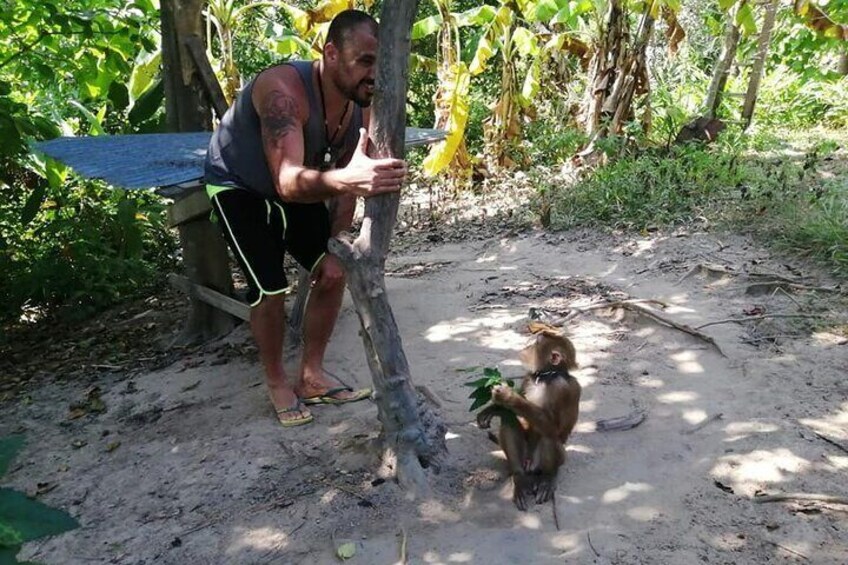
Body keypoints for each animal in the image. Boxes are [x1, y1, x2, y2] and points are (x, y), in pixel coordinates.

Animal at [476, 330, 584, 512]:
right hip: (522, 456)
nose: (526, 347)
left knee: (548, 436)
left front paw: (508, 397)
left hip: (555, 458)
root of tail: (530, 465)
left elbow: (555, 427)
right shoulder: (528, 378)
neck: (546, 377)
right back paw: (519, 477)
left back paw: (547, 478)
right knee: (509, 422)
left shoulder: (562, 388)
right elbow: (511, 415)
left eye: (536, 344)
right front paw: (493, 409)